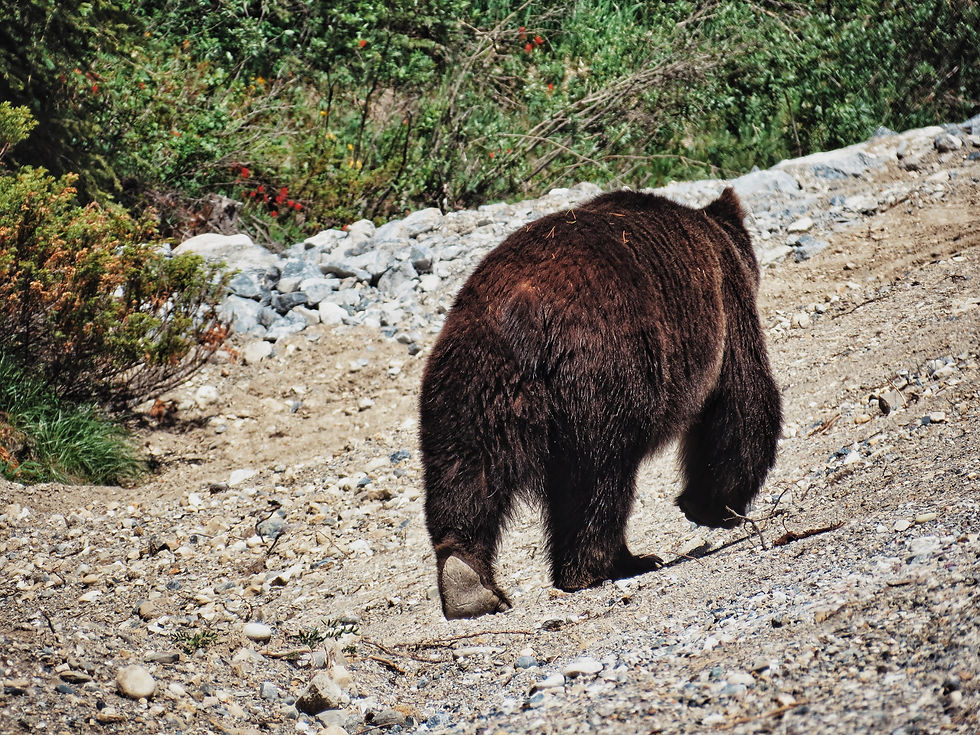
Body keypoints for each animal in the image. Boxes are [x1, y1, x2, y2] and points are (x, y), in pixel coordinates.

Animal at [418, 187, 781, 619]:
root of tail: (521, 311)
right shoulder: (726, 303)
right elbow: (741, 402)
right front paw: (713, 506)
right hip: (603, 371)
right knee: (598, 476)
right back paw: (611, 565)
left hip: (469, 382)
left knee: (466, 472)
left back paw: (467, 582)